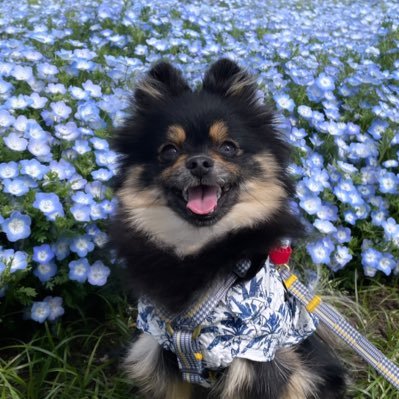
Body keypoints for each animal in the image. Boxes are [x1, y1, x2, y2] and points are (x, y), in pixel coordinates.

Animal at [110, 59, 346, 399]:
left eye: (228, 147)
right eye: (169, 150)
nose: (198, 162)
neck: (201, 251)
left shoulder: (256, 353)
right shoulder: (163, 348)